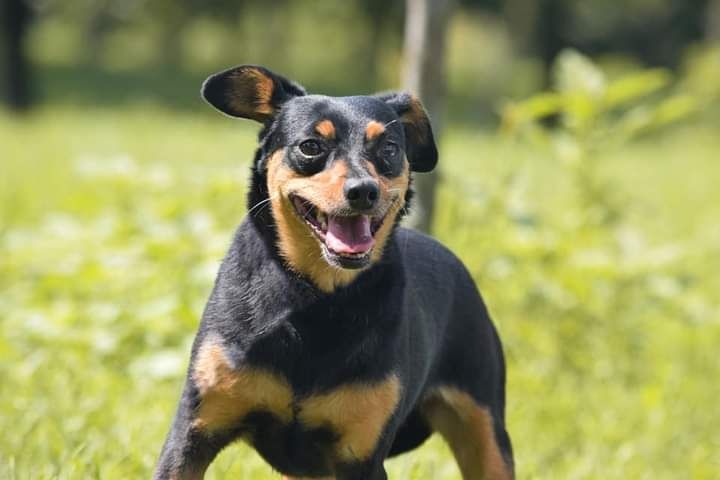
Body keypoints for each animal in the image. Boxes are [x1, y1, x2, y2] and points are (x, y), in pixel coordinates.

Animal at [153, 64, 512, 480]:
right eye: (311, 146)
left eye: (389, 149)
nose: (364, 191)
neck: (316, 297)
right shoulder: (194, 432)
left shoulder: (361, 455)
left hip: (486, 429)